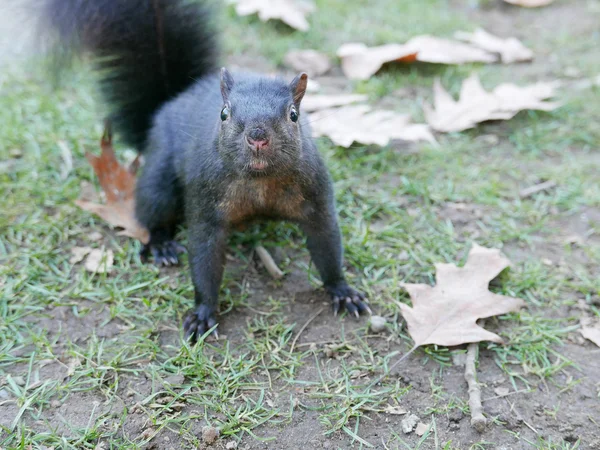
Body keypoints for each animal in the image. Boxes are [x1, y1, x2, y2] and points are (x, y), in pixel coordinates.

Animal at [42, 0, 368, 342]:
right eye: (224, 113)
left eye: (294, 114)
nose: (257, 136)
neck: (260, 181)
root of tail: (172, 101)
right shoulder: (204, 201)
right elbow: (203, 258)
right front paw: (202, 312)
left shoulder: (317, 195)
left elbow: (327, 244)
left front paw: (343, 291)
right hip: (160, 180)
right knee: (151, 210)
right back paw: (162, 245)